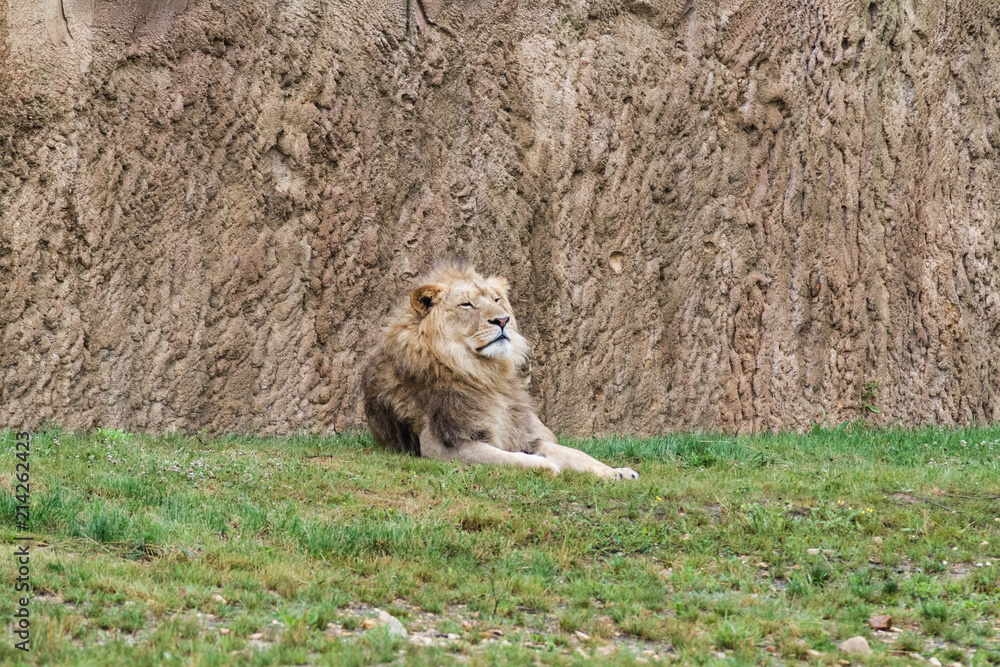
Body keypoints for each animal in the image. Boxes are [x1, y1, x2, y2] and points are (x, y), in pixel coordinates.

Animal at [362, 262, 639, 480]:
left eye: (496, 300)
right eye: (466, 304)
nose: (502, 320)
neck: (486, 374)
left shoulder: (527, 434)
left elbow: (577, 454)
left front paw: (617, 472)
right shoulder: (442, 445)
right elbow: (507, 458)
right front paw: (545, 466)